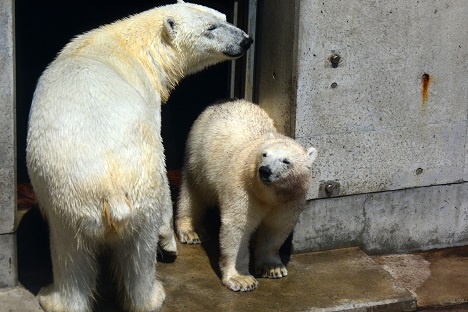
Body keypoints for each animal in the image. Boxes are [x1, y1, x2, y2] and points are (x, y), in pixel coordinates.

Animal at [25, 1, 252, 310]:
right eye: (211, 28)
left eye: (224, 17)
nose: (246, 40)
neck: (130, 46)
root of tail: (111, 189)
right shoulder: (148, 99)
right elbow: (164, 159)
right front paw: (170, 242)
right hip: (120, 188)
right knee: (117, 251)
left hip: (75, 202)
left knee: (86, 254)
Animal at [176, 100, 318, 292]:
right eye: (264, 154)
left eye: (286, 161)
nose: (264, 170)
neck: (268, 194)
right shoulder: (244, 189)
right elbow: (238, 226)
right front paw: (241, 279)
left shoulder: (290, 198)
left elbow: (276, 227)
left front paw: (272, 268)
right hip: (198, 154)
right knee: (194, 192)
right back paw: (191, 231)